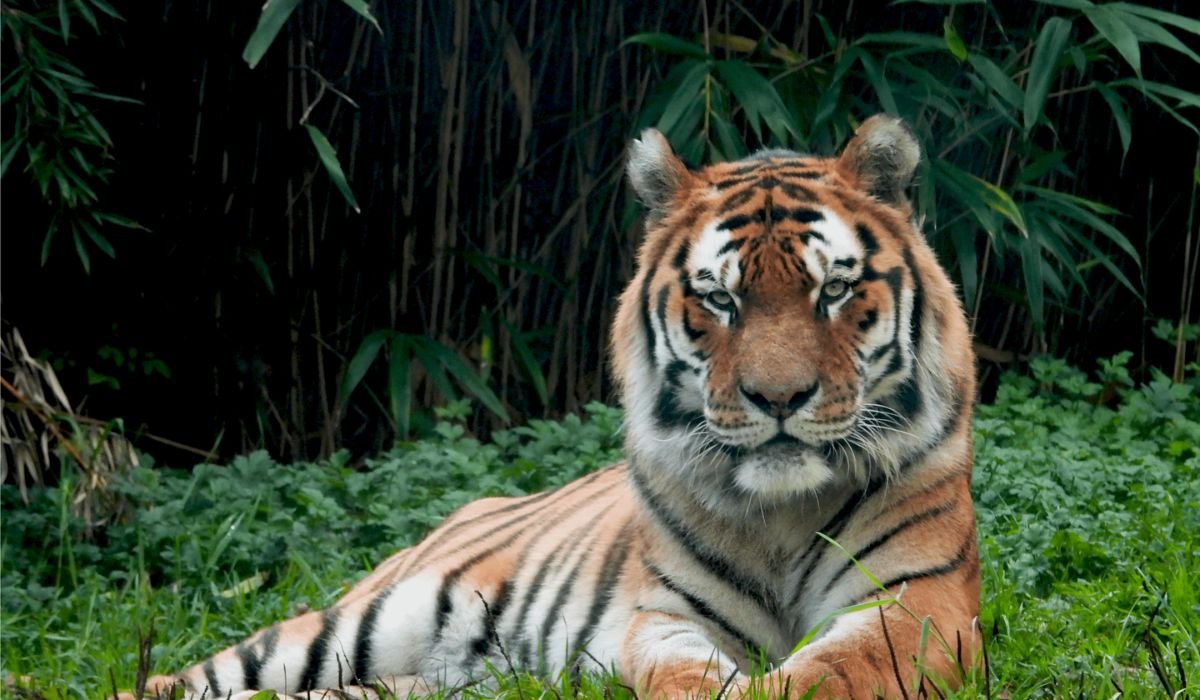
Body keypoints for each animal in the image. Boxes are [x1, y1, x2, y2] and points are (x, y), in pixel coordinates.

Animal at [125, 115, 979, 700]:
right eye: (720, 299)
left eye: (831, 290)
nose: (777, 398)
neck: (779, 515)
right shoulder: (664, 616)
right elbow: (684, 673)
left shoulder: (921, 599)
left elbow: (837, 667)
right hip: (360, 621)